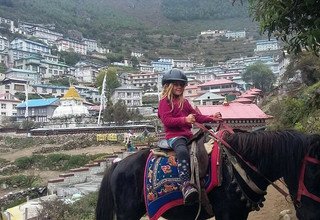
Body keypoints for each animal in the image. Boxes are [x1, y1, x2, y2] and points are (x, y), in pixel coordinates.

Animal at [95, 129, 320, 220]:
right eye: (314, 171)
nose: (312, 216)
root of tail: (117, 164)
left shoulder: (240, 213)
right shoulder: (226, 213)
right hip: (127, 213)